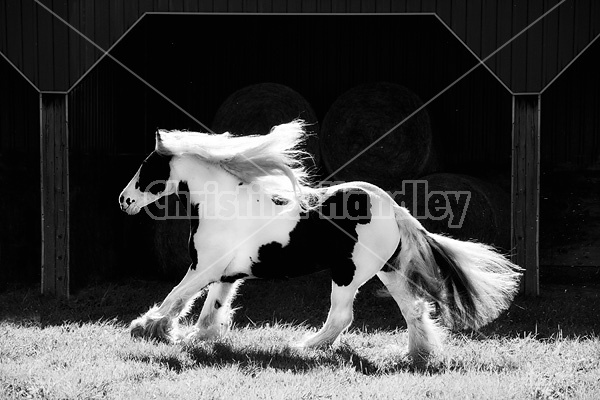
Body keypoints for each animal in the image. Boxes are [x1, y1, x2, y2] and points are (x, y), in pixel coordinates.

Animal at [117, 119, 520, 360]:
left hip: (347, 274)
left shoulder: (204, 268)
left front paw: (147, 328)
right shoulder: (225, 275)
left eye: (146, 167)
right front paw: (188, 338)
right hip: (388, 271)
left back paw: (303, 346)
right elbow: (208, 314)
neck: (222, 205)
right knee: (414, 310)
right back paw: (413, 355)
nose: (123, 201)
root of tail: (392, 207)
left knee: (341, 316)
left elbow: (175, 297)